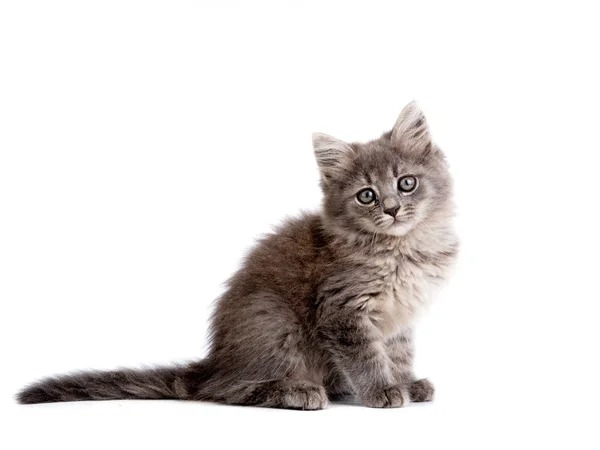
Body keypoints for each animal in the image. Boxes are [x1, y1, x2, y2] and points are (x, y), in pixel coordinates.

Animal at [19, 103, 460, 412]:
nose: (392, 209)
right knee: (227, 390)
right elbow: (367, 356)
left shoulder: (399, 318)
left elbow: (396, 354)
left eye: (406, 184)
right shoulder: (341, 310)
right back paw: (298, 392)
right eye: (366, 195)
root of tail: (215, 362)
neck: (403, 249)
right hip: (275, 320)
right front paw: (383, 390)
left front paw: (405, 383)